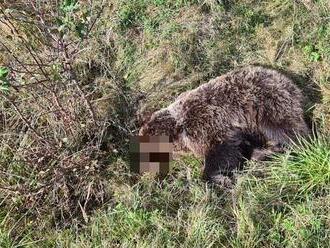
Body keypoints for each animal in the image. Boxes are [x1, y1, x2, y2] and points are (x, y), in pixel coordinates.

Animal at [139, 66, 310, 184]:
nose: (144, 170)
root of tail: (286, 80)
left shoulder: (207, 123)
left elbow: (222, 151)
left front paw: (217, 177)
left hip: (264, 103)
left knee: (286, 129)